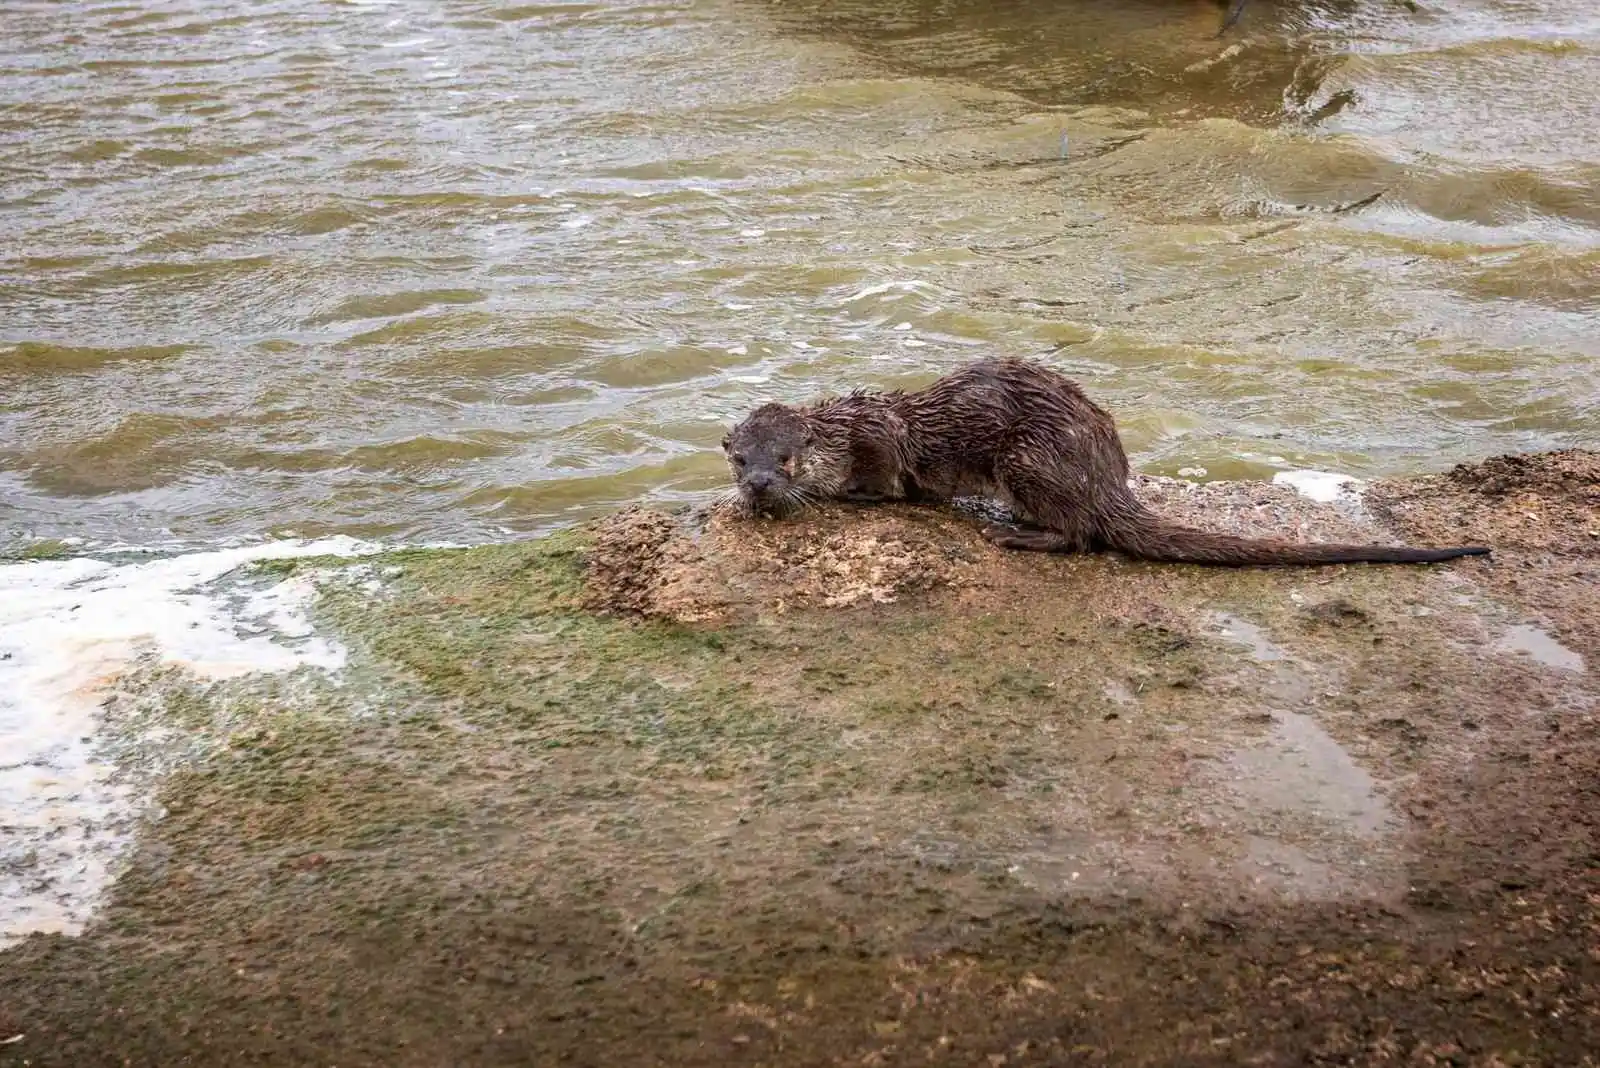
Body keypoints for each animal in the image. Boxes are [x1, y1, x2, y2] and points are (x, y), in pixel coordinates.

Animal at [720, 358, 1491, 565]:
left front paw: (849, 496)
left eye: (784, 459)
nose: (758, 486)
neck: (842, 432)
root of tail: (1108, 478)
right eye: (739, 461)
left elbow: (889, 487)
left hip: (1028, 461)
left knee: (1079, 534)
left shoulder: (880, 440)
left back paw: (1012, 532)